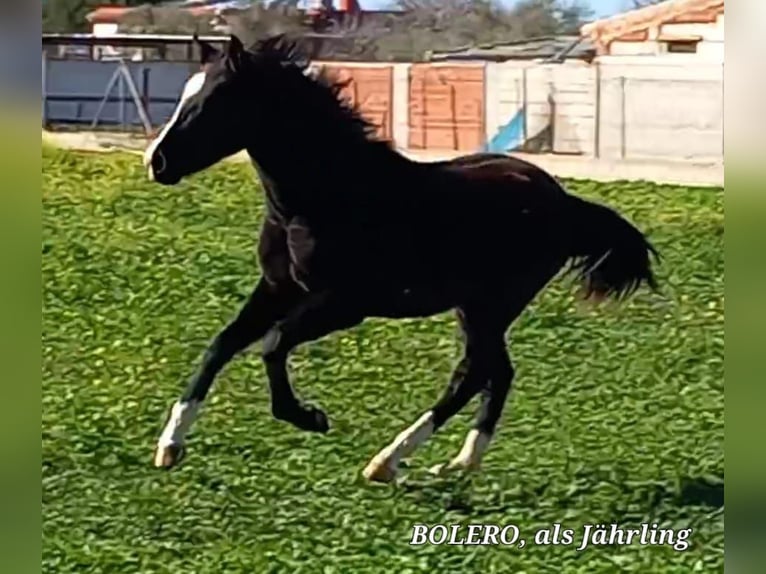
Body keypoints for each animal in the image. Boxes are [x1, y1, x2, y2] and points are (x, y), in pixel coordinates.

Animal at [144, 36, 660, 484]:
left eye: (215, 100)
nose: (157, 162)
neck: (323, 199)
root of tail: (564, 201)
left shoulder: (344, 304)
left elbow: (271, 345)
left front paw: (310, 416)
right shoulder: (277, 288)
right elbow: (222, 345)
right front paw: (170, 446)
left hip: (491, 305)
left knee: (472, 373)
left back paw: (387, 462)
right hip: (477, 308)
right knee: (496, 372)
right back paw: (459, 463)